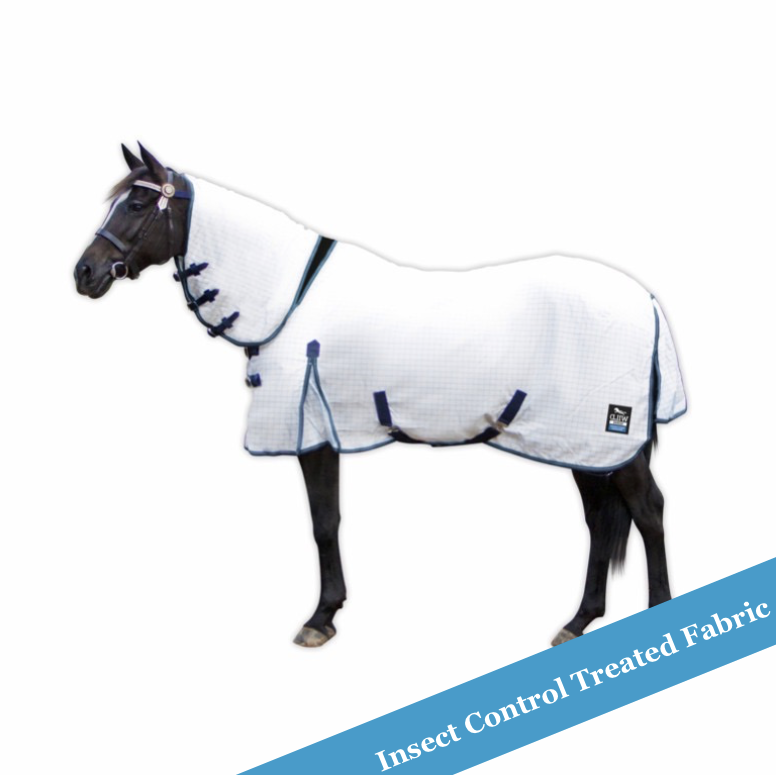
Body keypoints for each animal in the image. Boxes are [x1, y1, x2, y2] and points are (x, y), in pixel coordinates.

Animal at [74, 144, 686, 648]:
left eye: (135, 204)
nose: (84, 273)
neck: (288, 297)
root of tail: (647, 301)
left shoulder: (312, 434)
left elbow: (324, 523)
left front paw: (320, 618)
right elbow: (328, 521)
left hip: (604, 440)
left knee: (648, 512)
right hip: (580, 445)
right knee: (602, 521)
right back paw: (579, 620)